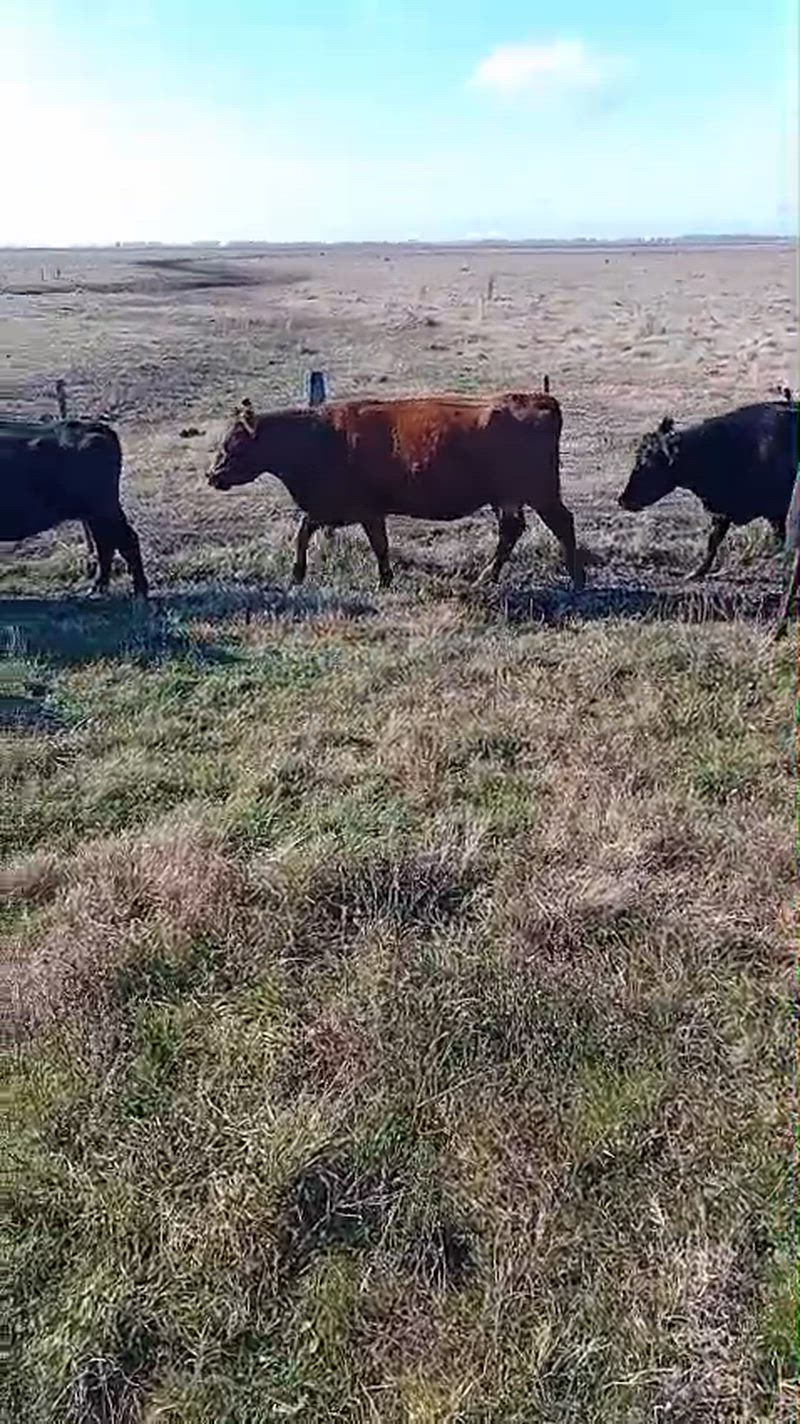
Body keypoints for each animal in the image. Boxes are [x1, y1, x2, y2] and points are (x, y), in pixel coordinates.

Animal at [0, 417, 148, 597]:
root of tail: (95, 427)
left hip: (103, 508)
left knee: (125, 540)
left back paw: (139, 590)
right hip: (95, 513)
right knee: (106, 543)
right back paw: (98, 586)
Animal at [207, 390, 582, 590]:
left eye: (233, 445)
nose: (212, 476)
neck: (318, 438)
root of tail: (537, 398)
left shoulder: (363, 509)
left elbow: (377, 545)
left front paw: (384, 580)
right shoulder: (333, 508)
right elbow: (305, 531)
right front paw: (298, 575)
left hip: (540, 493)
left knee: (561, 524)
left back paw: (575, 578)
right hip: (508, 498)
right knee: (512, 531)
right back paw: (487, 577)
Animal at [618, 400, 799, 579]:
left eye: (645, 462)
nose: (622, 499)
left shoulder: (776, 511)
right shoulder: (722, 511)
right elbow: (713, 542)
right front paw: (697, 572)